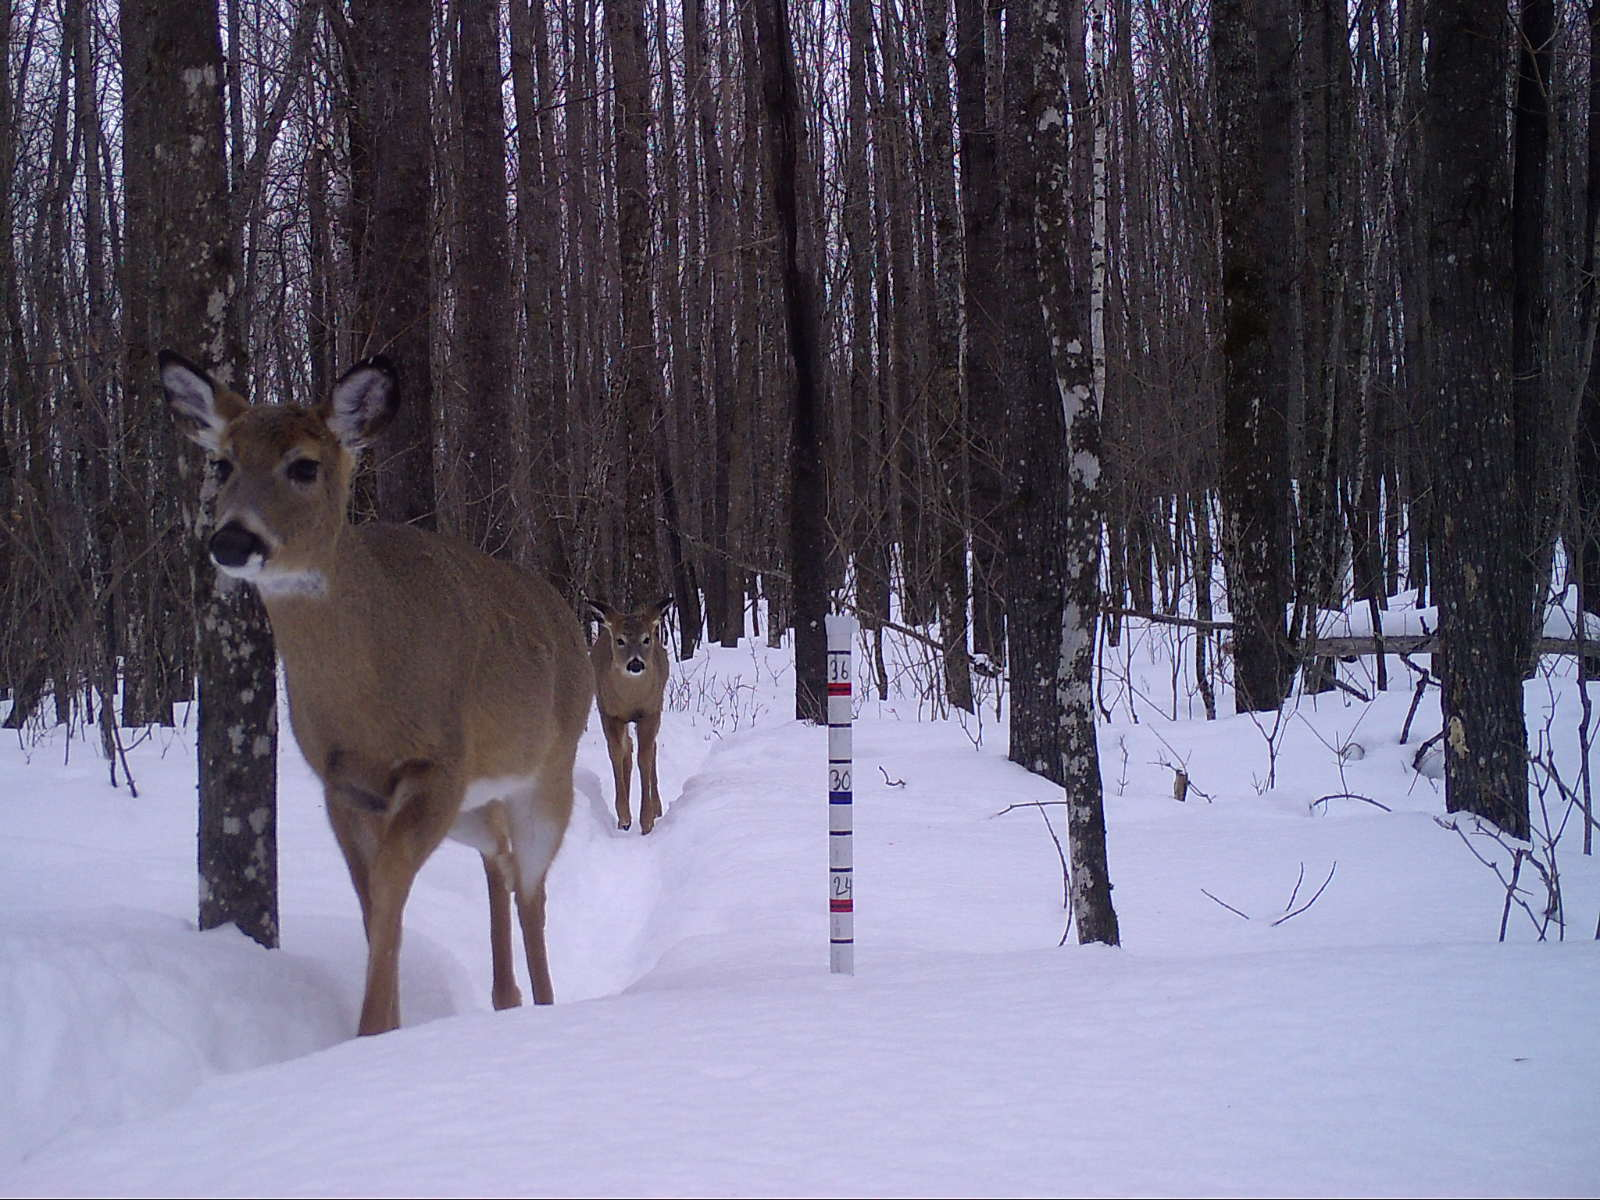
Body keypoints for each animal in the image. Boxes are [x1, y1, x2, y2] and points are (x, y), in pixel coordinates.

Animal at [160, 349, 593, 1037]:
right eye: (221, 463)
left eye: (304, 465)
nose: (231, 540)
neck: (368, 691)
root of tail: (566, 618)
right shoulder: (344, 785)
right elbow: (372, 904)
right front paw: (383, 1029)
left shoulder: (438, 766)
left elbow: (390, 886)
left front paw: (372, 1032)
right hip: (474, 803)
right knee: (498, 855)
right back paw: (505, 996)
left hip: (548, 772)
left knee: (533, 887)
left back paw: (545, 1006)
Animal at [586, 597, 673, 834]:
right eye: (620, 640)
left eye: (646, 638)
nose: (635, 663)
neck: (631, 699)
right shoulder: (609, 713)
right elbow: (616, 754)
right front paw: (624, 815)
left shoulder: (650, 712)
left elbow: (645, 758)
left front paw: (647, 820)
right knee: (628, 747)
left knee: (649, 749)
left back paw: (657, 807)